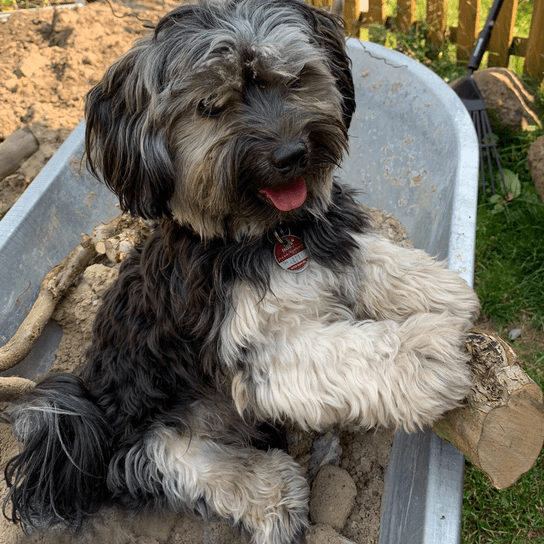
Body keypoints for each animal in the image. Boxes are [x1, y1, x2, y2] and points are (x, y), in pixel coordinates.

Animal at [4, 1, 480, 544]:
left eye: (294, 79)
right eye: (211, 107)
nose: (292, 154)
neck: (265, 236)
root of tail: (91, 424)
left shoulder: (324, 235)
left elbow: (367, 257)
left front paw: (440, 291)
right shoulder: (252, 346)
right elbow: (346, 350)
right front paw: (421, 354)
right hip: (149, 425)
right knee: (171, 460)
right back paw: (271, 493)